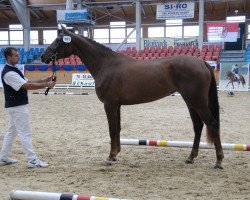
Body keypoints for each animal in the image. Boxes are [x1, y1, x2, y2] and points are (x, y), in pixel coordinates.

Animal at [41, 25, 225, 168]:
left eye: (59, 41)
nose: (43, 57)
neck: (106, 64)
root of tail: (202, 62)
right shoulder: (117, 105)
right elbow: (117, 129)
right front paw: (116, 154)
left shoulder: (109, 104)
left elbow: (112, 129)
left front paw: (110, 157)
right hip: (190, 101)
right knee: (198, 126)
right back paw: (191, 158)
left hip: (197, 102)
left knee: (212, 124)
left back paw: (218, 161)